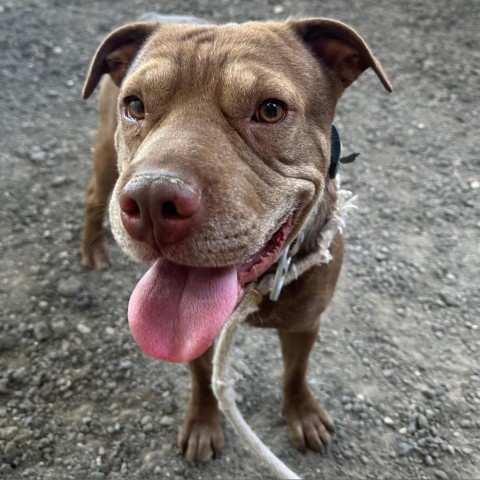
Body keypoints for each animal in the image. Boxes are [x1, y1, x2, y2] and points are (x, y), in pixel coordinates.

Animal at [80, 16, 392, 464]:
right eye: (136, 106)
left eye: (271, 110)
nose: (152, 198)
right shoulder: (193, 338)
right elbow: (201, 378)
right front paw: (203, 422)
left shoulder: (305, 324)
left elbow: (295, 373)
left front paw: (302, 413)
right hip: (106, 156)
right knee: (93, 195)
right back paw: (92, 247)